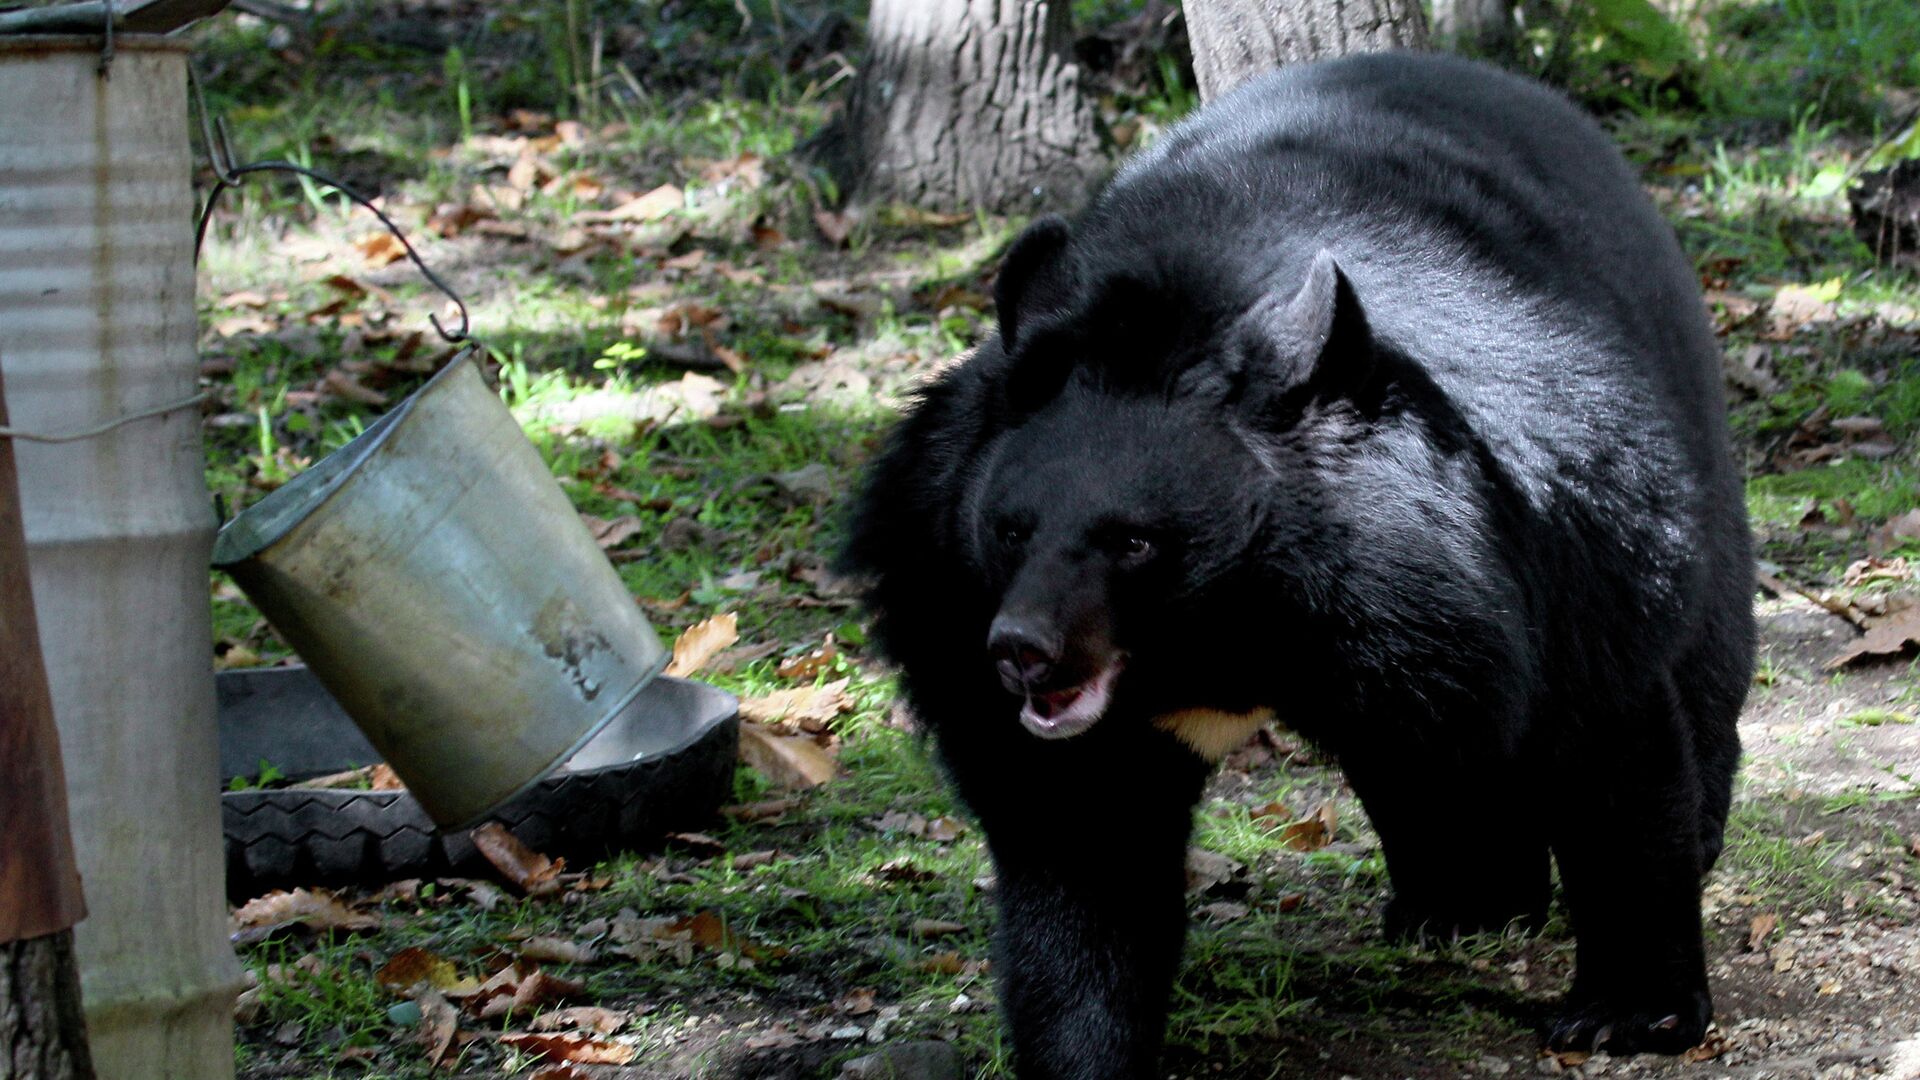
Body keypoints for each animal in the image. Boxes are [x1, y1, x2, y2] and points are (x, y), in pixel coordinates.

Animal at [840, 52, 1758, 1076]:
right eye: (1009, 530)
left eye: (1135, 541)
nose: (1022, 652)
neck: (1234, 626)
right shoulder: (947, 594)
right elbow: (1081, 844)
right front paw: (1084, 1054)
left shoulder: (1541, 544)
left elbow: (1607, 736)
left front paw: (1629, 1014)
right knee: (1427, 762)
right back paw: (1460, 902)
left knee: (1702, 647)